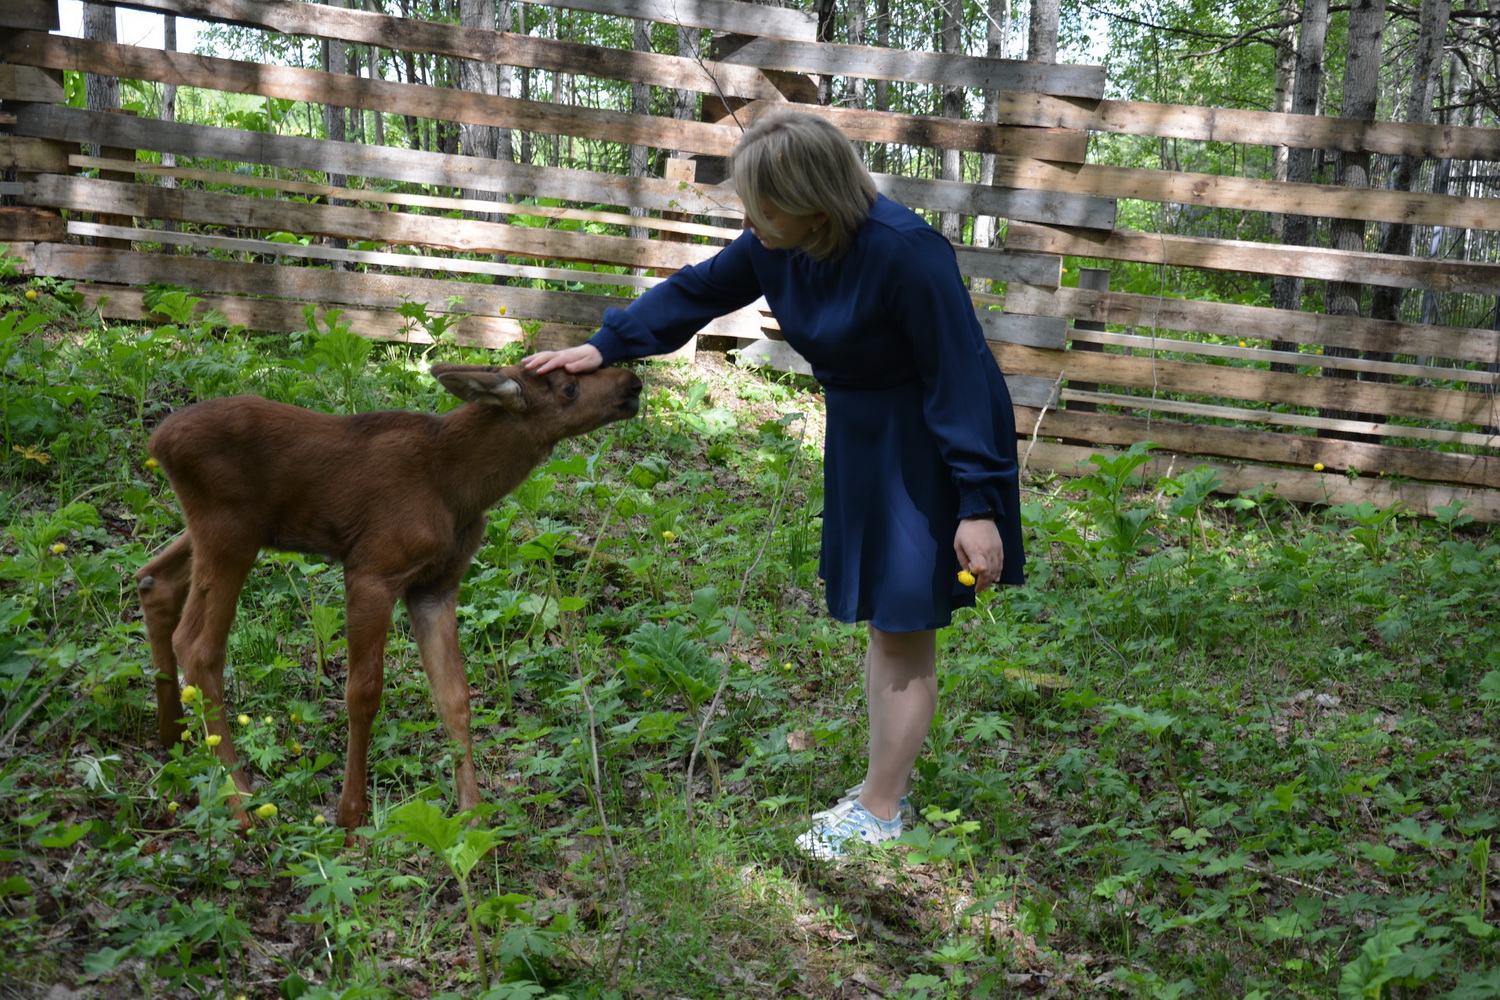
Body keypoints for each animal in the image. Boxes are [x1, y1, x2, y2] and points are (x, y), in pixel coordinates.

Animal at [141, 359, 651, 827]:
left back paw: (172, 738)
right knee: (198, 644)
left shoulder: (435, 586)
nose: (633, 382)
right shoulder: (373, 569)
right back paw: (240, 800)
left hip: (226, 531)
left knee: (152, 581)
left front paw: (473, 816)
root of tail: (157, 441)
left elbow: (454, 697)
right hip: (230, 531)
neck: (458, 488)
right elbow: (363, 693)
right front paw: (351, 816)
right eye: (568, 389)